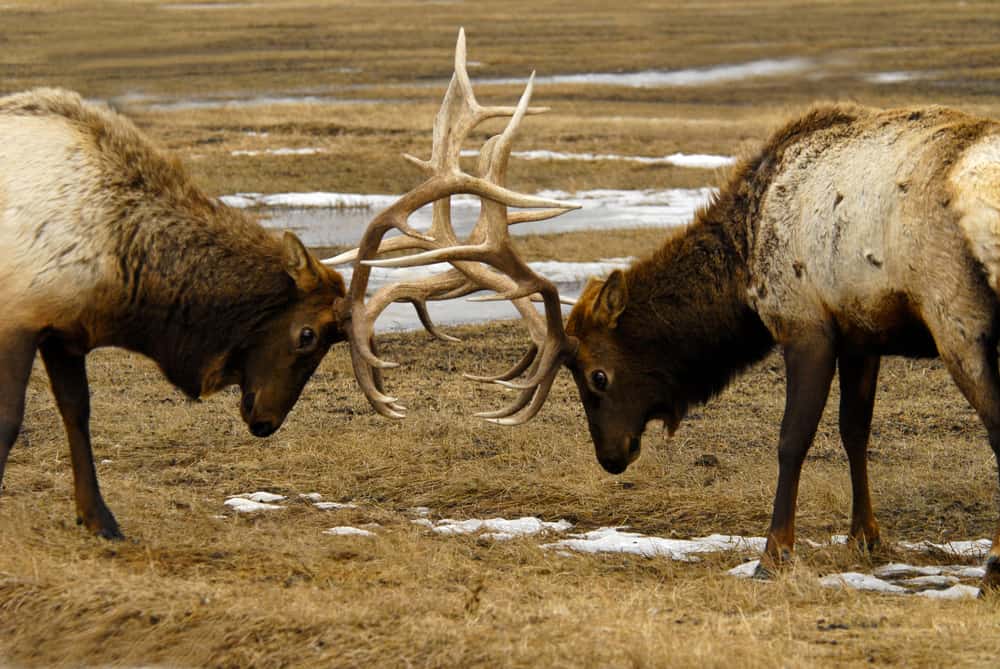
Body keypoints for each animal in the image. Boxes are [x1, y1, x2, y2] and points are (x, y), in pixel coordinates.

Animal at [338, 38, 1000, 589]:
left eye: (597, 374)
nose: (611, 457)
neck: (743, 255)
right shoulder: (861, 330)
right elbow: (855, 432)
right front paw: (866, 539)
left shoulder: (803, 321)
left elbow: (792, 439)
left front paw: (772, 554)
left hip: (958, 315)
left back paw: (991, 570)